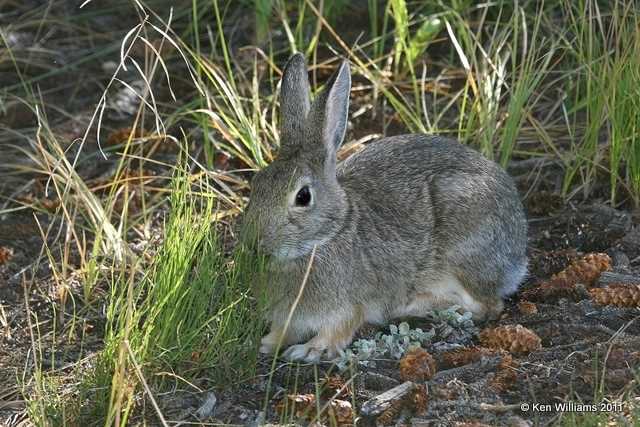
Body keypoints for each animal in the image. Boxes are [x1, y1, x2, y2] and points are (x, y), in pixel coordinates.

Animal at [242, 51, 528, 362]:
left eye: (303, 196)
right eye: (256, 184)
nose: (255, 244)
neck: (325, 238)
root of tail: (519, 248)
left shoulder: (348, 306)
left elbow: (338, 331)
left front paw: (310, 350)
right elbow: (284, 331)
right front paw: (266, 343)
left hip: (465, 247)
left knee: (488, 306)